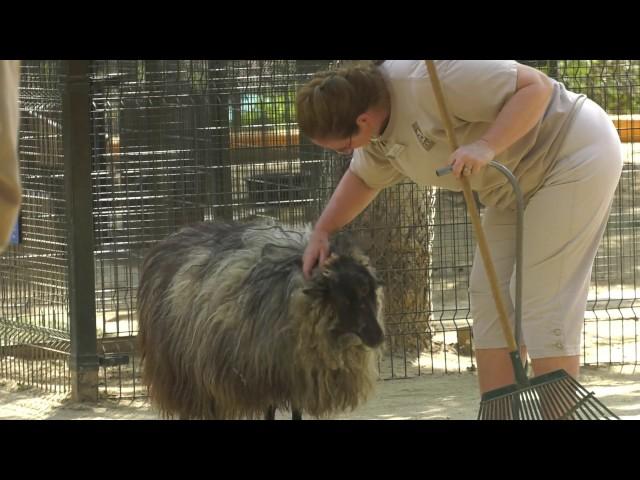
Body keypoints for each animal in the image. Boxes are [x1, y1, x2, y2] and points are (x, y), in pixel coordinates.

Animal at [139, 219, 384, 418]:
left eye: (371, 293)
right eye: (345, 299)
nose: (378, 337)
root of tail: (173, 236)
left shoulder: (295, 375)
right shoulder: (265, 374)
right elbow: (269, 412)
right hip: (182, 372)